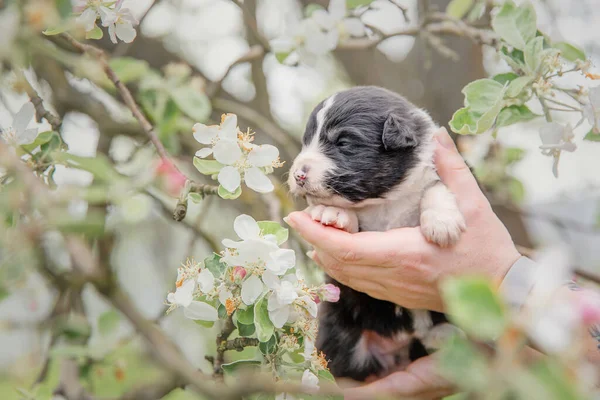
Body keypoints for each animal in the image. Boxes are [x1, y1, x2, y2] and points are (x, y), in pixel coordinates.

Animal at [288, 86, 466, 382]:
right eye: (305, 143)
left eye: (343, 143)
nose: (298, 175)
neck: (385, 200)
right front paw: (333, 213)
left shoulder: (431, 173)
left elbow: (435, 187)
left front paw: (443, 222)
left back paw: (445, 335)